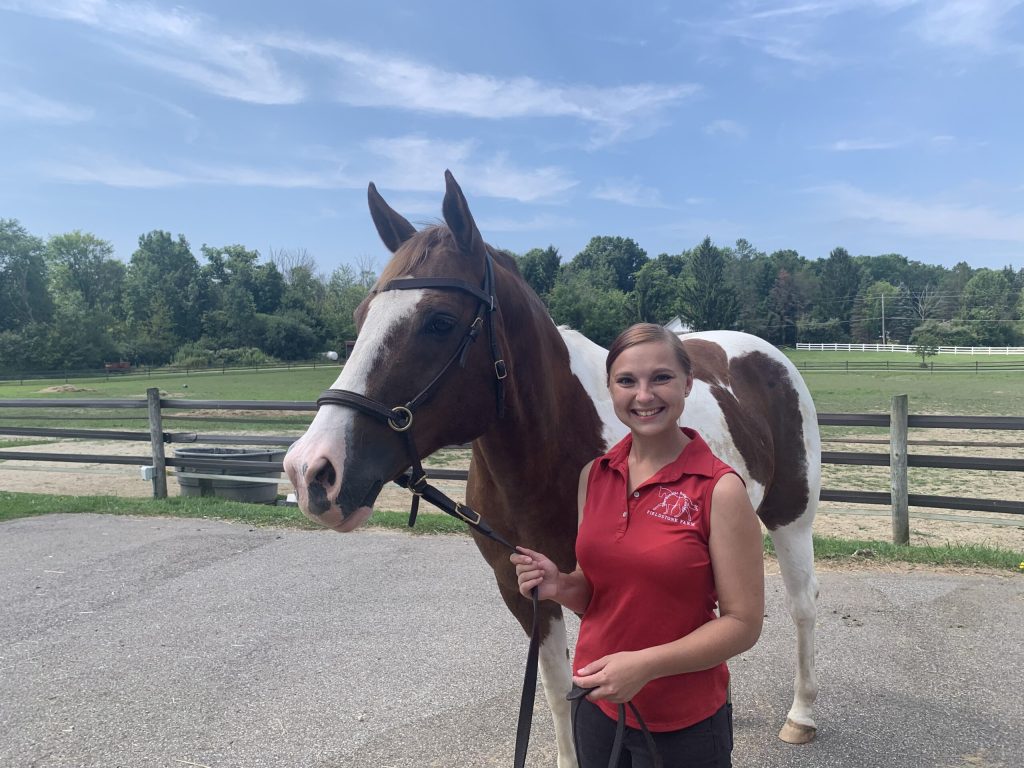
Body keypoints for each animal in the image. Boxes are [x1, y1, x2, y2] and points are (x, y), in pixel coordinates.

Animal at [282, 171, 823, 765]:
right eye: (360, 320)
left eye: (439, 321)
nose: (312, 471)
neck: (552, 443)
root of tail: (764, 354)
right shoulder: (523, 585)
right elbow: (559, 689)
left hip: (792, 517)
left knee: (801, 605)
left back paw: (800, 716)